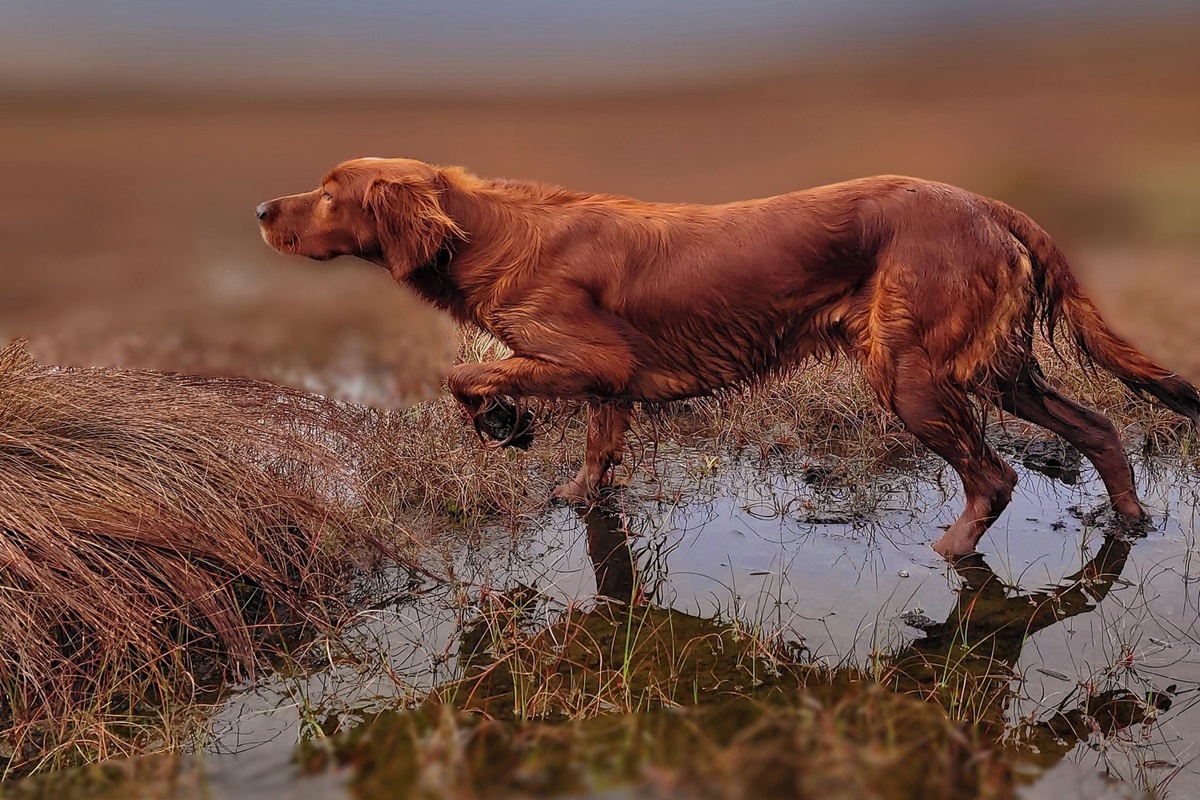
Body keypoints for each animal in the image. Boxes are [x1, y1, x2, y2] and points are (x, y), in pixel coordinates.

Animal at [255, 155, 1200, 556]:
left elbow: (463, 372)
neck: (490, 232)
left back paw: (950, 552)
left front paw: (504, 420)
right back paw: (1128, 517)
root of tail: (986, 204)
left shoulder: (590, 357)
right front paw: (555, 471)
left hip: (914, 375)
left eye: (329, 194)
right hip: (996, 370)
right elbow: (595, 456)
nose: (263, 209)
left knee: (995, 477)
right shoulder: (610, 386)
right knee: (1099, 425)